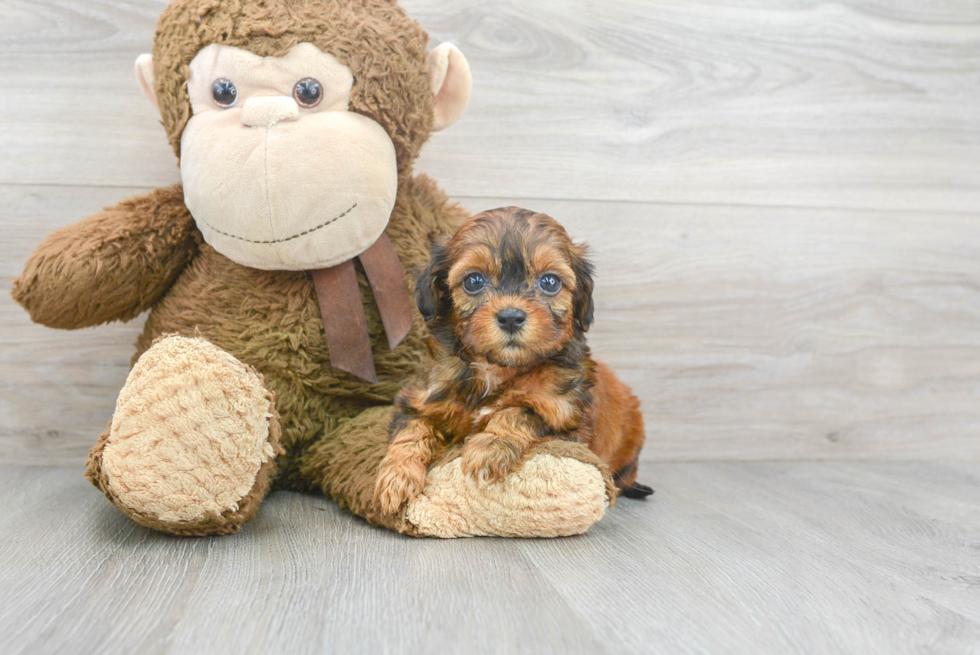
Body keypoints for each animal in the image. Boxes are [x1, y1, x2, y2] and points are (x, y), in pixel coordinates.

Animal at [376, 208, 652, 516]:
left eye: (550, 282)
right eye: (473, 281)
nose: (510, 317)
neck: (498, 368)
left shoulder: (566, 419)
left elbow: (519, 412)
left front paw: (488, 448)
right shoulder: (421, 401)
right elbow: (412, 430)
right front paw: (396, 478)